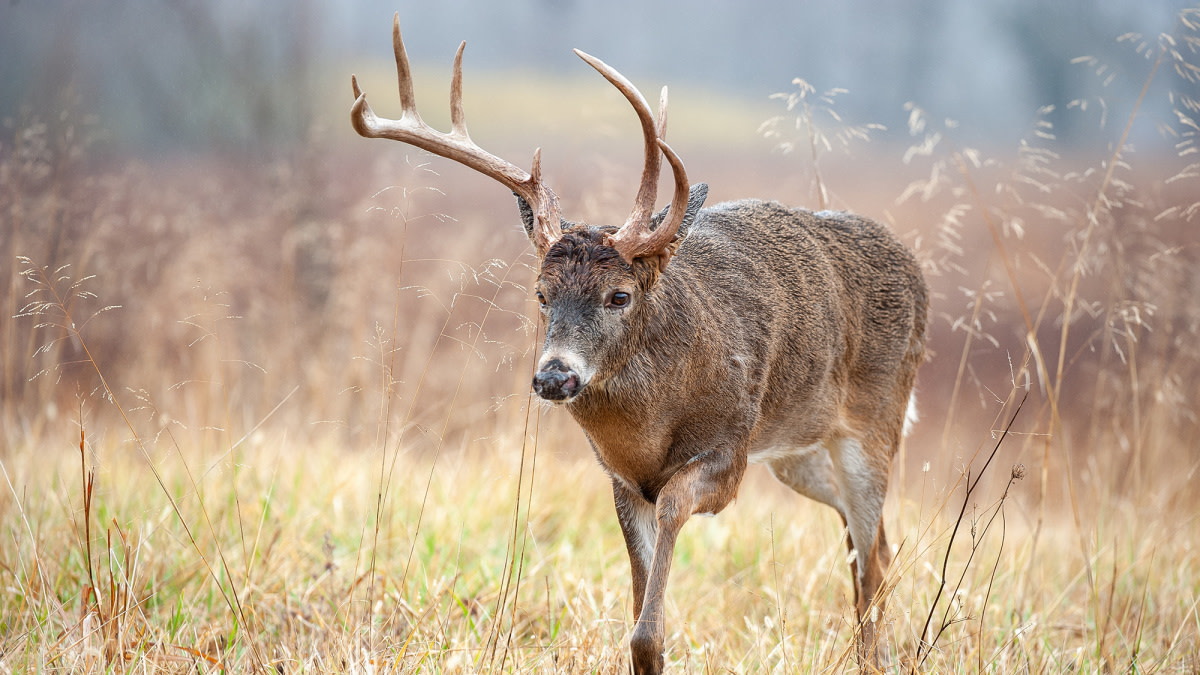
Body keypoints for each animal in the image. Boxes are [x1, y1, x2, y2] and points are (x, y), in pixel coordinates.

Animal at [350, 13, 926, 667]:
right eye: (541, 294)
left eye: (619, 296)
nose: (554, 375)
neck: (652, 426)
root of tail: (917, 268)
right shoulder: (622, 480)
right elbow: (638, 591)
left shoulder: (728, 453)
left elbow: (669, 531)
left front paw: (651, 641)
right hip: (797, 453)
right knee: (870, 541)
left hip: (875, 423)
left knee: (871, 549)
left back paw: (874, 657)